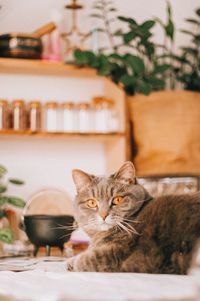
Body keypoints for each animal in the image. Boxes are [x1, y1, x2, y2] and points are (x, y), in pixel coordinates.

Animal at [66, 161, 200, 274]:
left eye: (117, 199)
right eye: (92, 203)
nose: (103, 215)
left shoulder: (114, 253)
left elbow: (87, 259)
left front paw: (72, 262)